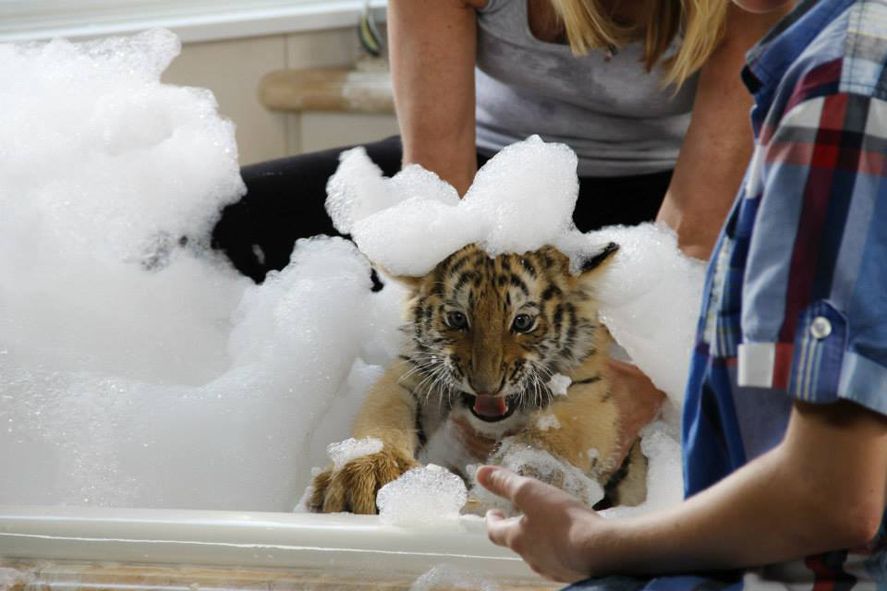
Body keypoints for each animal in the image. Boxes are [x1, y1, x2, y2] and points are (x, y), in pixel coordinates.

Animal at [308, 241, 647, 515]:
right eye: (457, 318)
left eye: (522, 322)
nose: (486, 386)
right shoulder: (414, 372)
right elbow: (385, 416)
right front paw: (368, 473)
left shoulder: (585, 394)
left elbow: (548, 444)